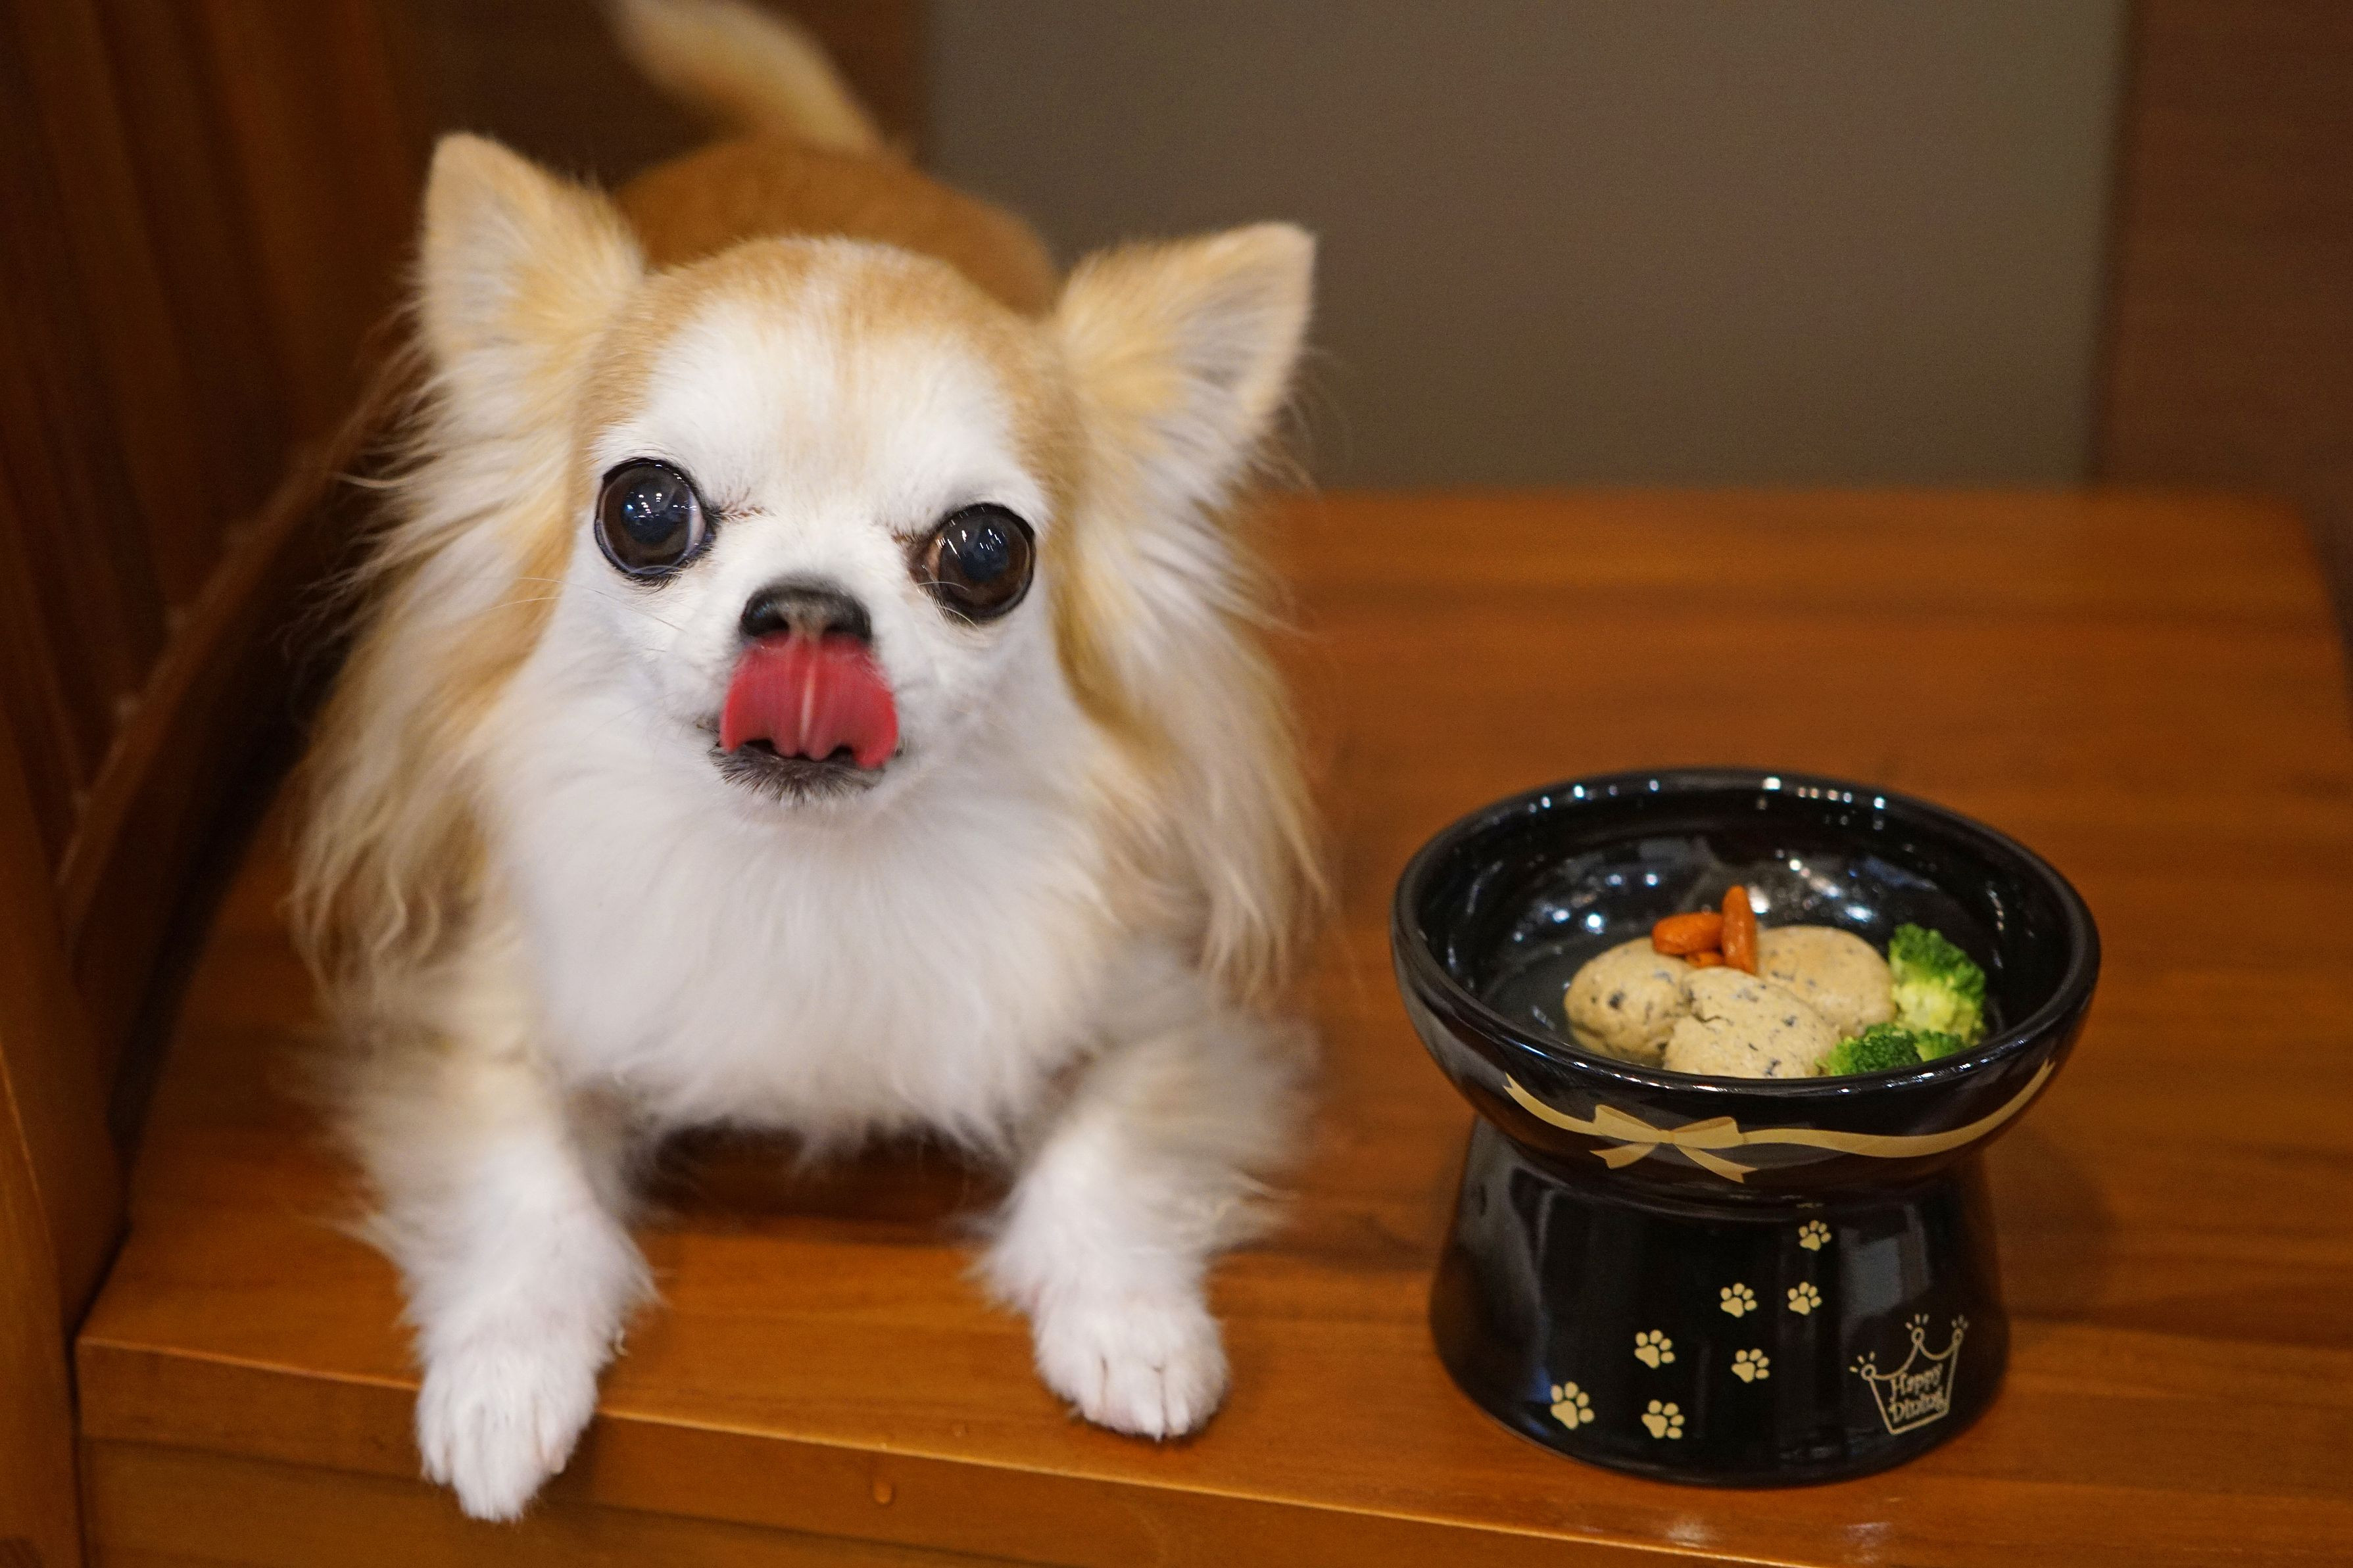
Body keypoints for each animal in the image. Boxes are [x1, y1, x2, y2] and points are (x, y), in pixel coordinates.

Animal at [290, 0, 1322, 1522]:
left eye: (985, 553)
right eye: (645, 511)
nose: (809, 613)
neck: (805, 871)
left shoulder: (1160, 1013)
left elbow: (1110, 1150)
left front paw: (1134, 1328)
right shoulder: (479, 1024)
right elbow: (523, 1190)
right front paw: (501, 1384)